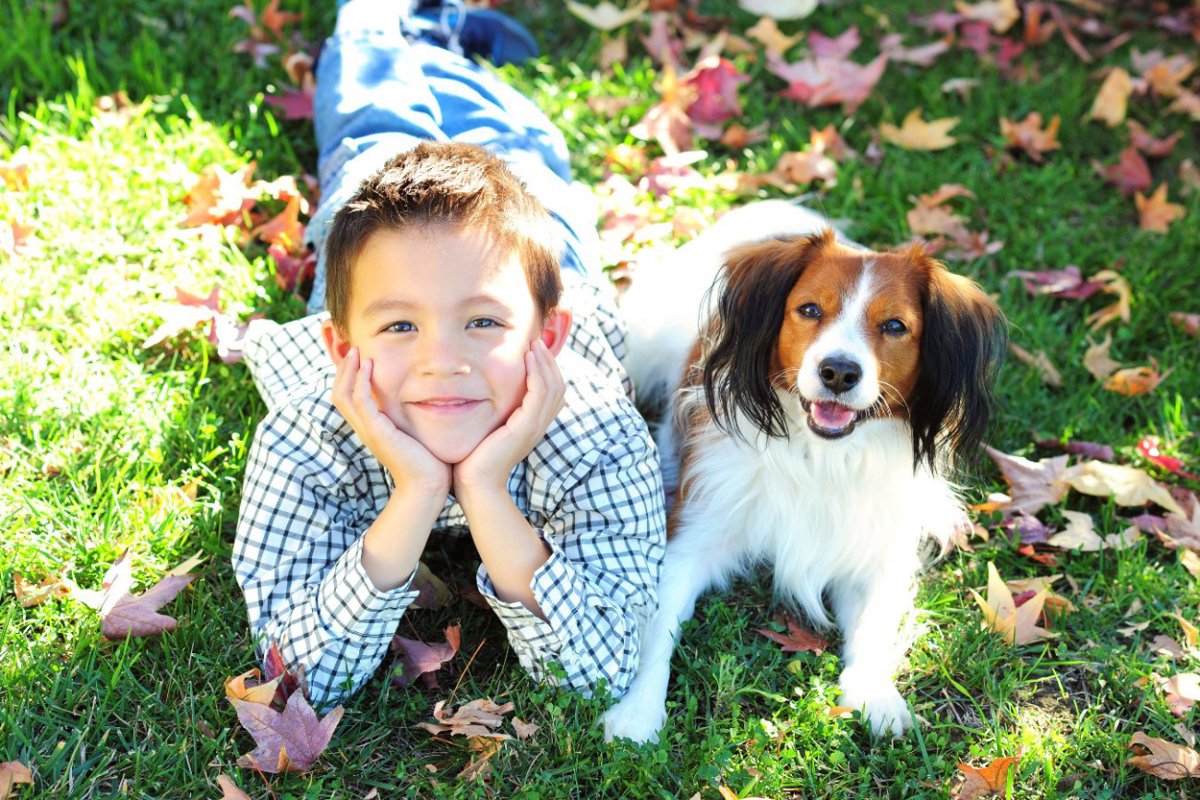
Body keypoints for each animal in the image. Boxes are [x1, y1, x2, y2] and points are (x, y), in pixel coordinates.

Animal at [600, 203, 1003, 743]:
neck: (822, 456)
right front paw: (638, 710)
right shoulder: (693, 530)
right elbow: (656, 625)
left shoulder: (871, 547)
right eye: (810, 310)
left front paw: (875, 693)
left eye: (895, 326)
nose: (839, 371)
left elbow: (873, 624)